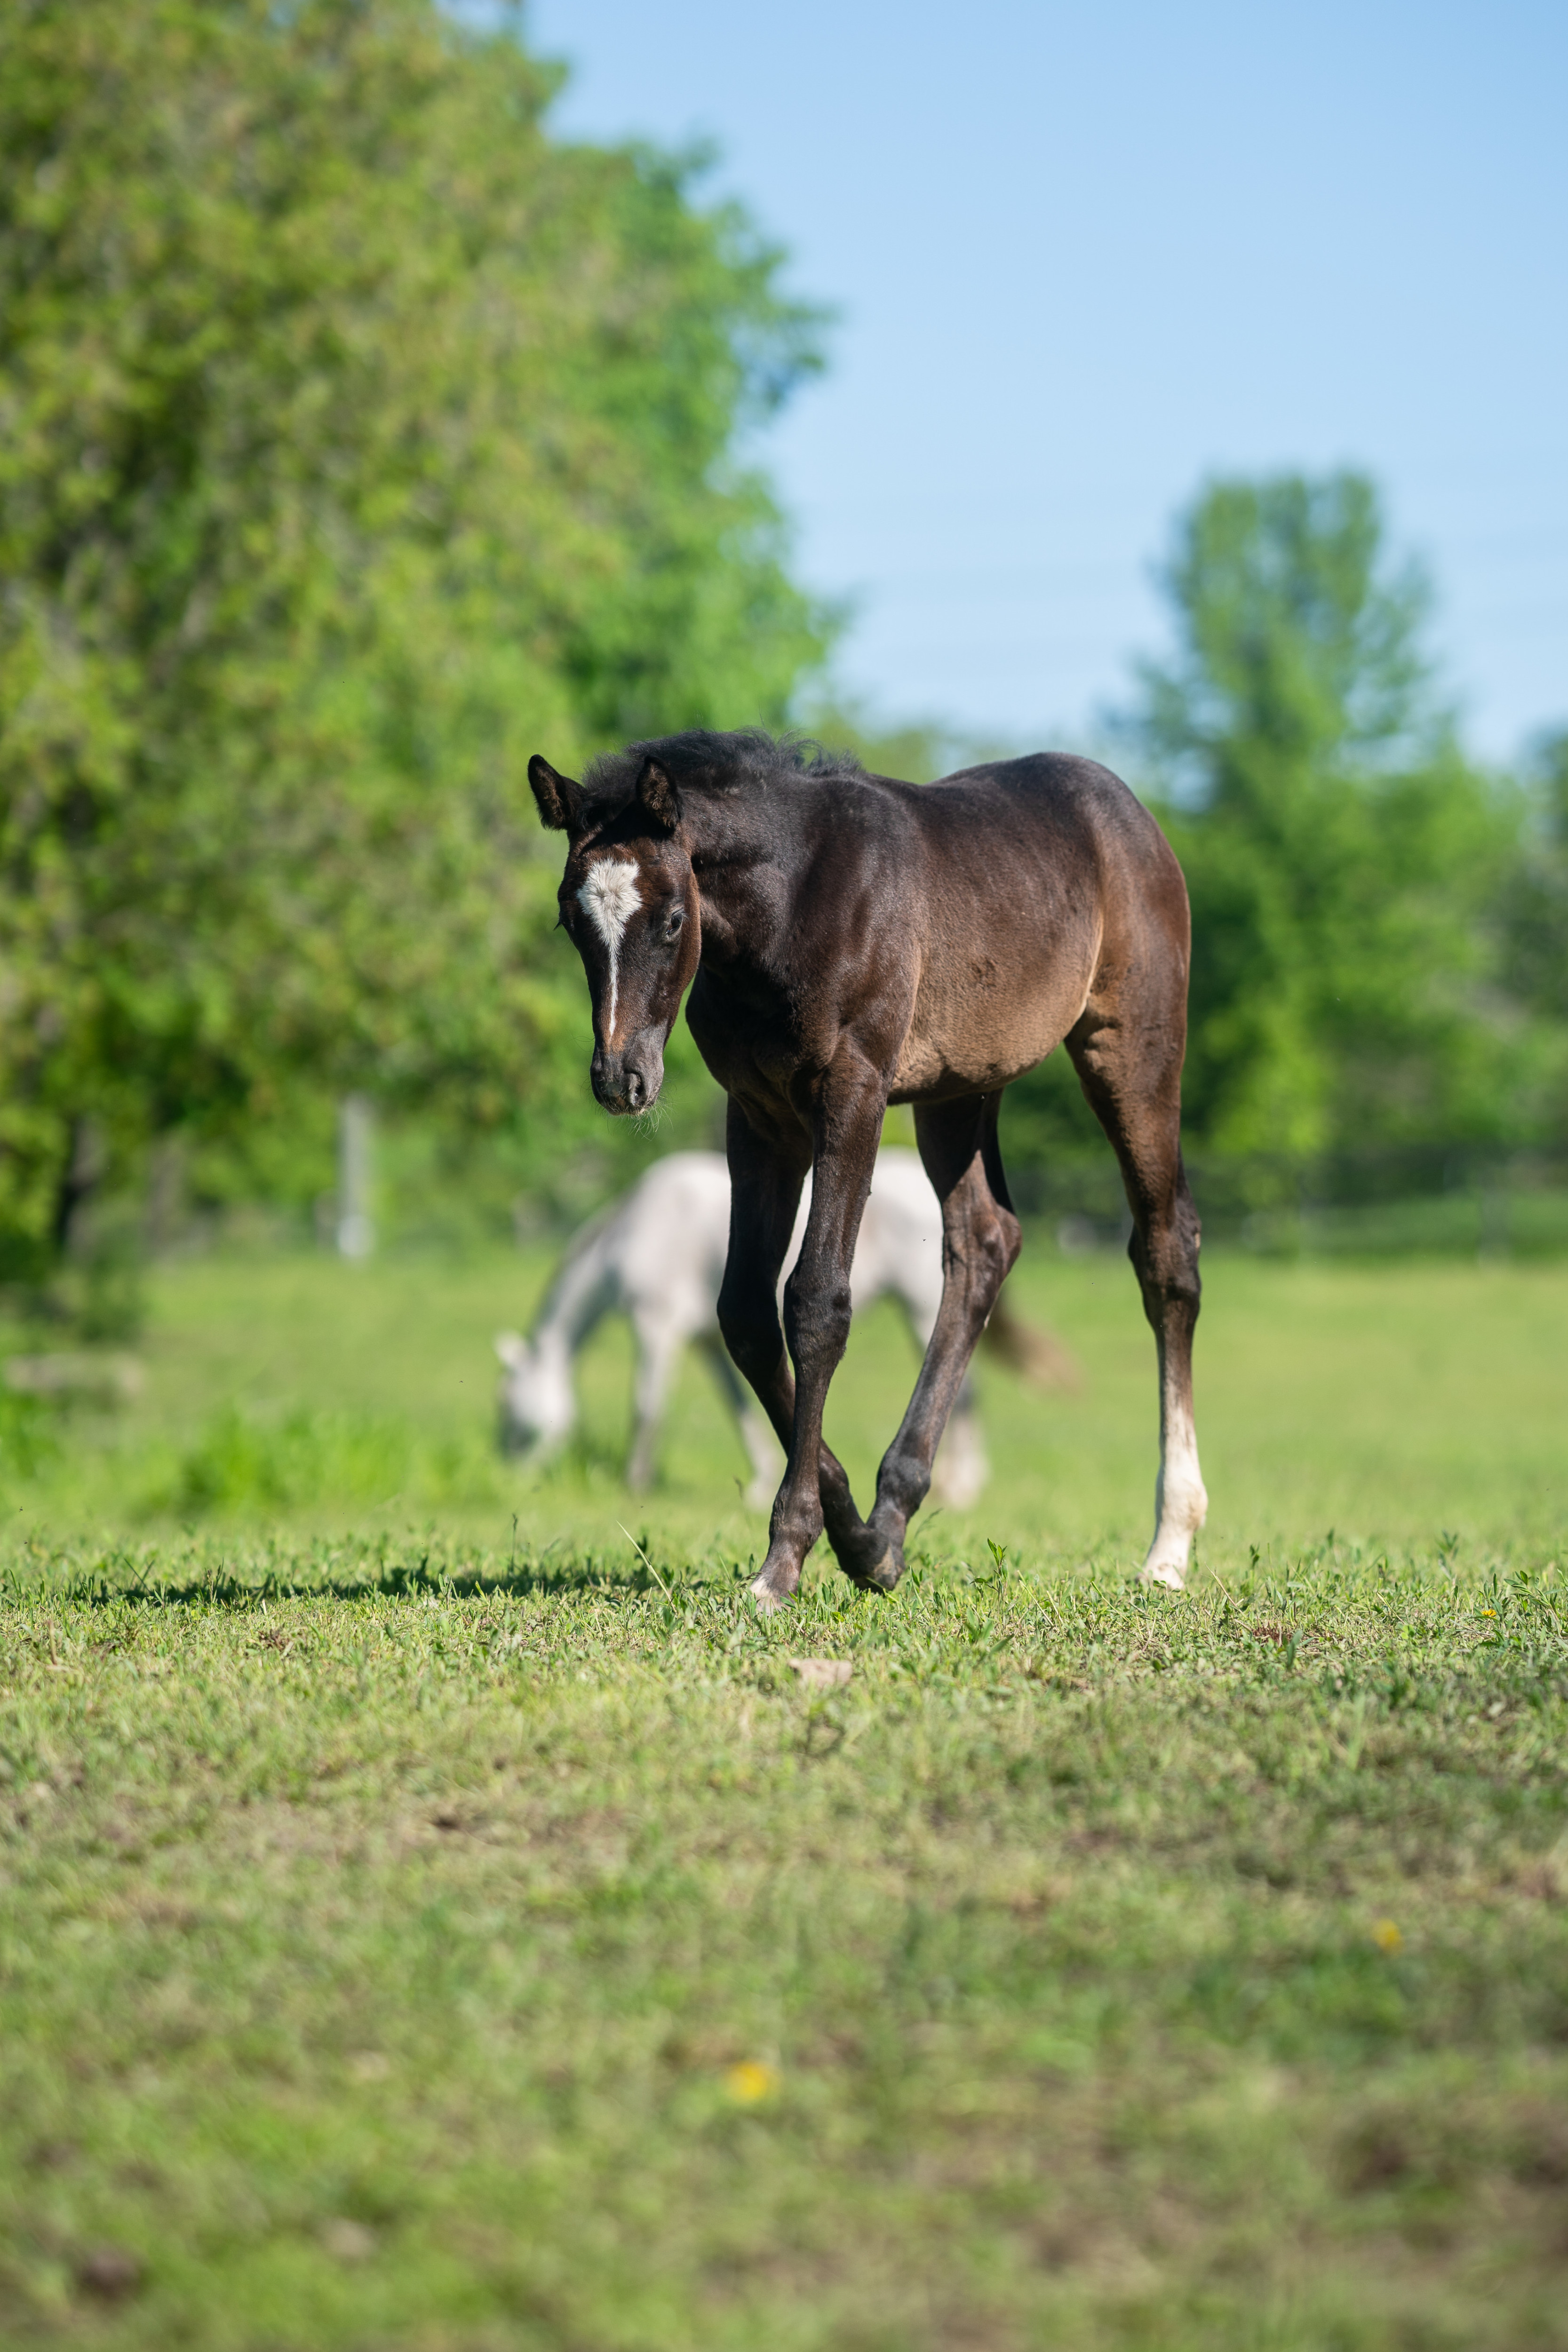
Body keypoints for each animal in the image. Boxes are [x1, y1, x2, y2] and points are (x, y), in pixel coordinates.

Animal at [496, 1152, 1072, 1505]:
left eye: (511, 1411)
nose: (513, 1471)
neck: (639, 1228)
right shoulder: (709, 1343)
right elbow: (744, 1411)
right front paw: (760, 1482)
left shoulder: (654, 1328)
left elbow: (647, 1407)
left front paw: (633, 1481)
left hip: (920, 1304)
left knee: (964, 1391)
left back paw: (963, 1485)